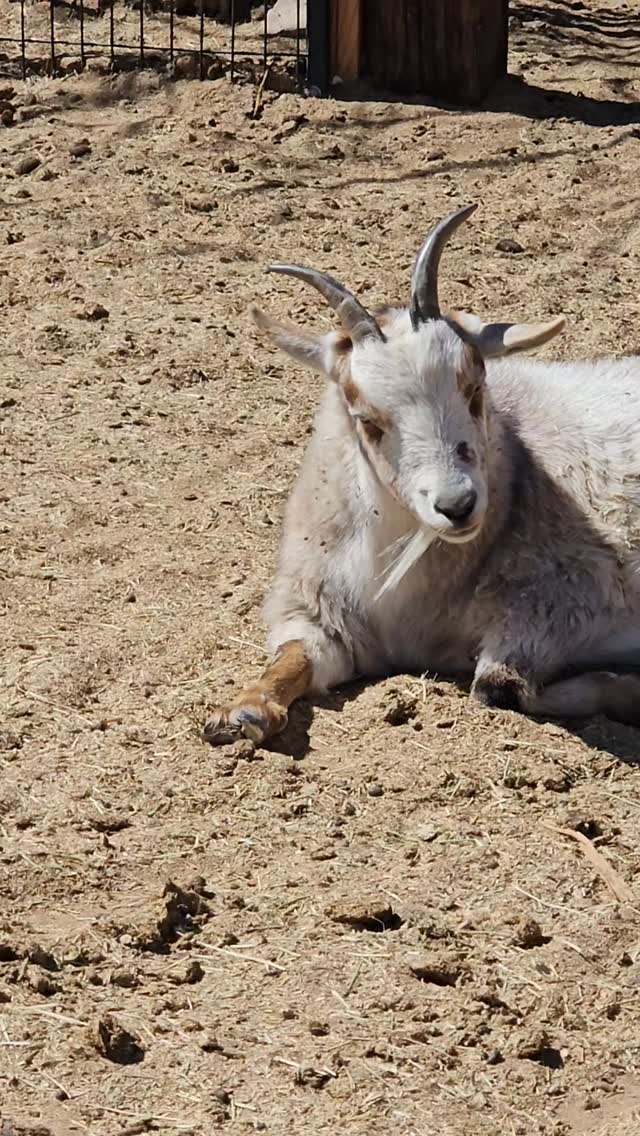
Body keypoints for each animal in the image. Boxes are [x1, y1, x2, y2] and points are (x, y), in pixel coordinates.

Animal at [205, 204, 640, 746]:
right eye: (366, 418)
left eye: (474, 388)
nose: (457, 505)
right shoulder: (319, 612)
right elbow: (294, 656)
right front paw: (242, 711)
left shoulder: (553, 602)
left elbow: (500, 685)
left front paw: (628, 690)